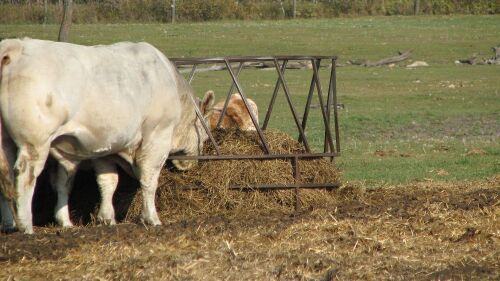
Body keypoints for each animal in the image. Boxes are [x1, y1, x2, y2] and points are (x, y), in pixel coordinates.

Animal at [0, 38, 213, 233]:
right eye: (204, 136)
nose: (192, 164)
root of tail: (14, 46)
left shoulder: (105, 147)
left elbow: (107, 182)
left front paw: (106, 218)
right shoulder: (157, 136)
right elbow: (149, 180)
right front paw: (152, 218)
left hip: (5, 143)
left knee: (6, 176)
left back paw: (11, 224)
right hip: (35, 142)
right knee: (25, 176)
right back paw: (26, 227)